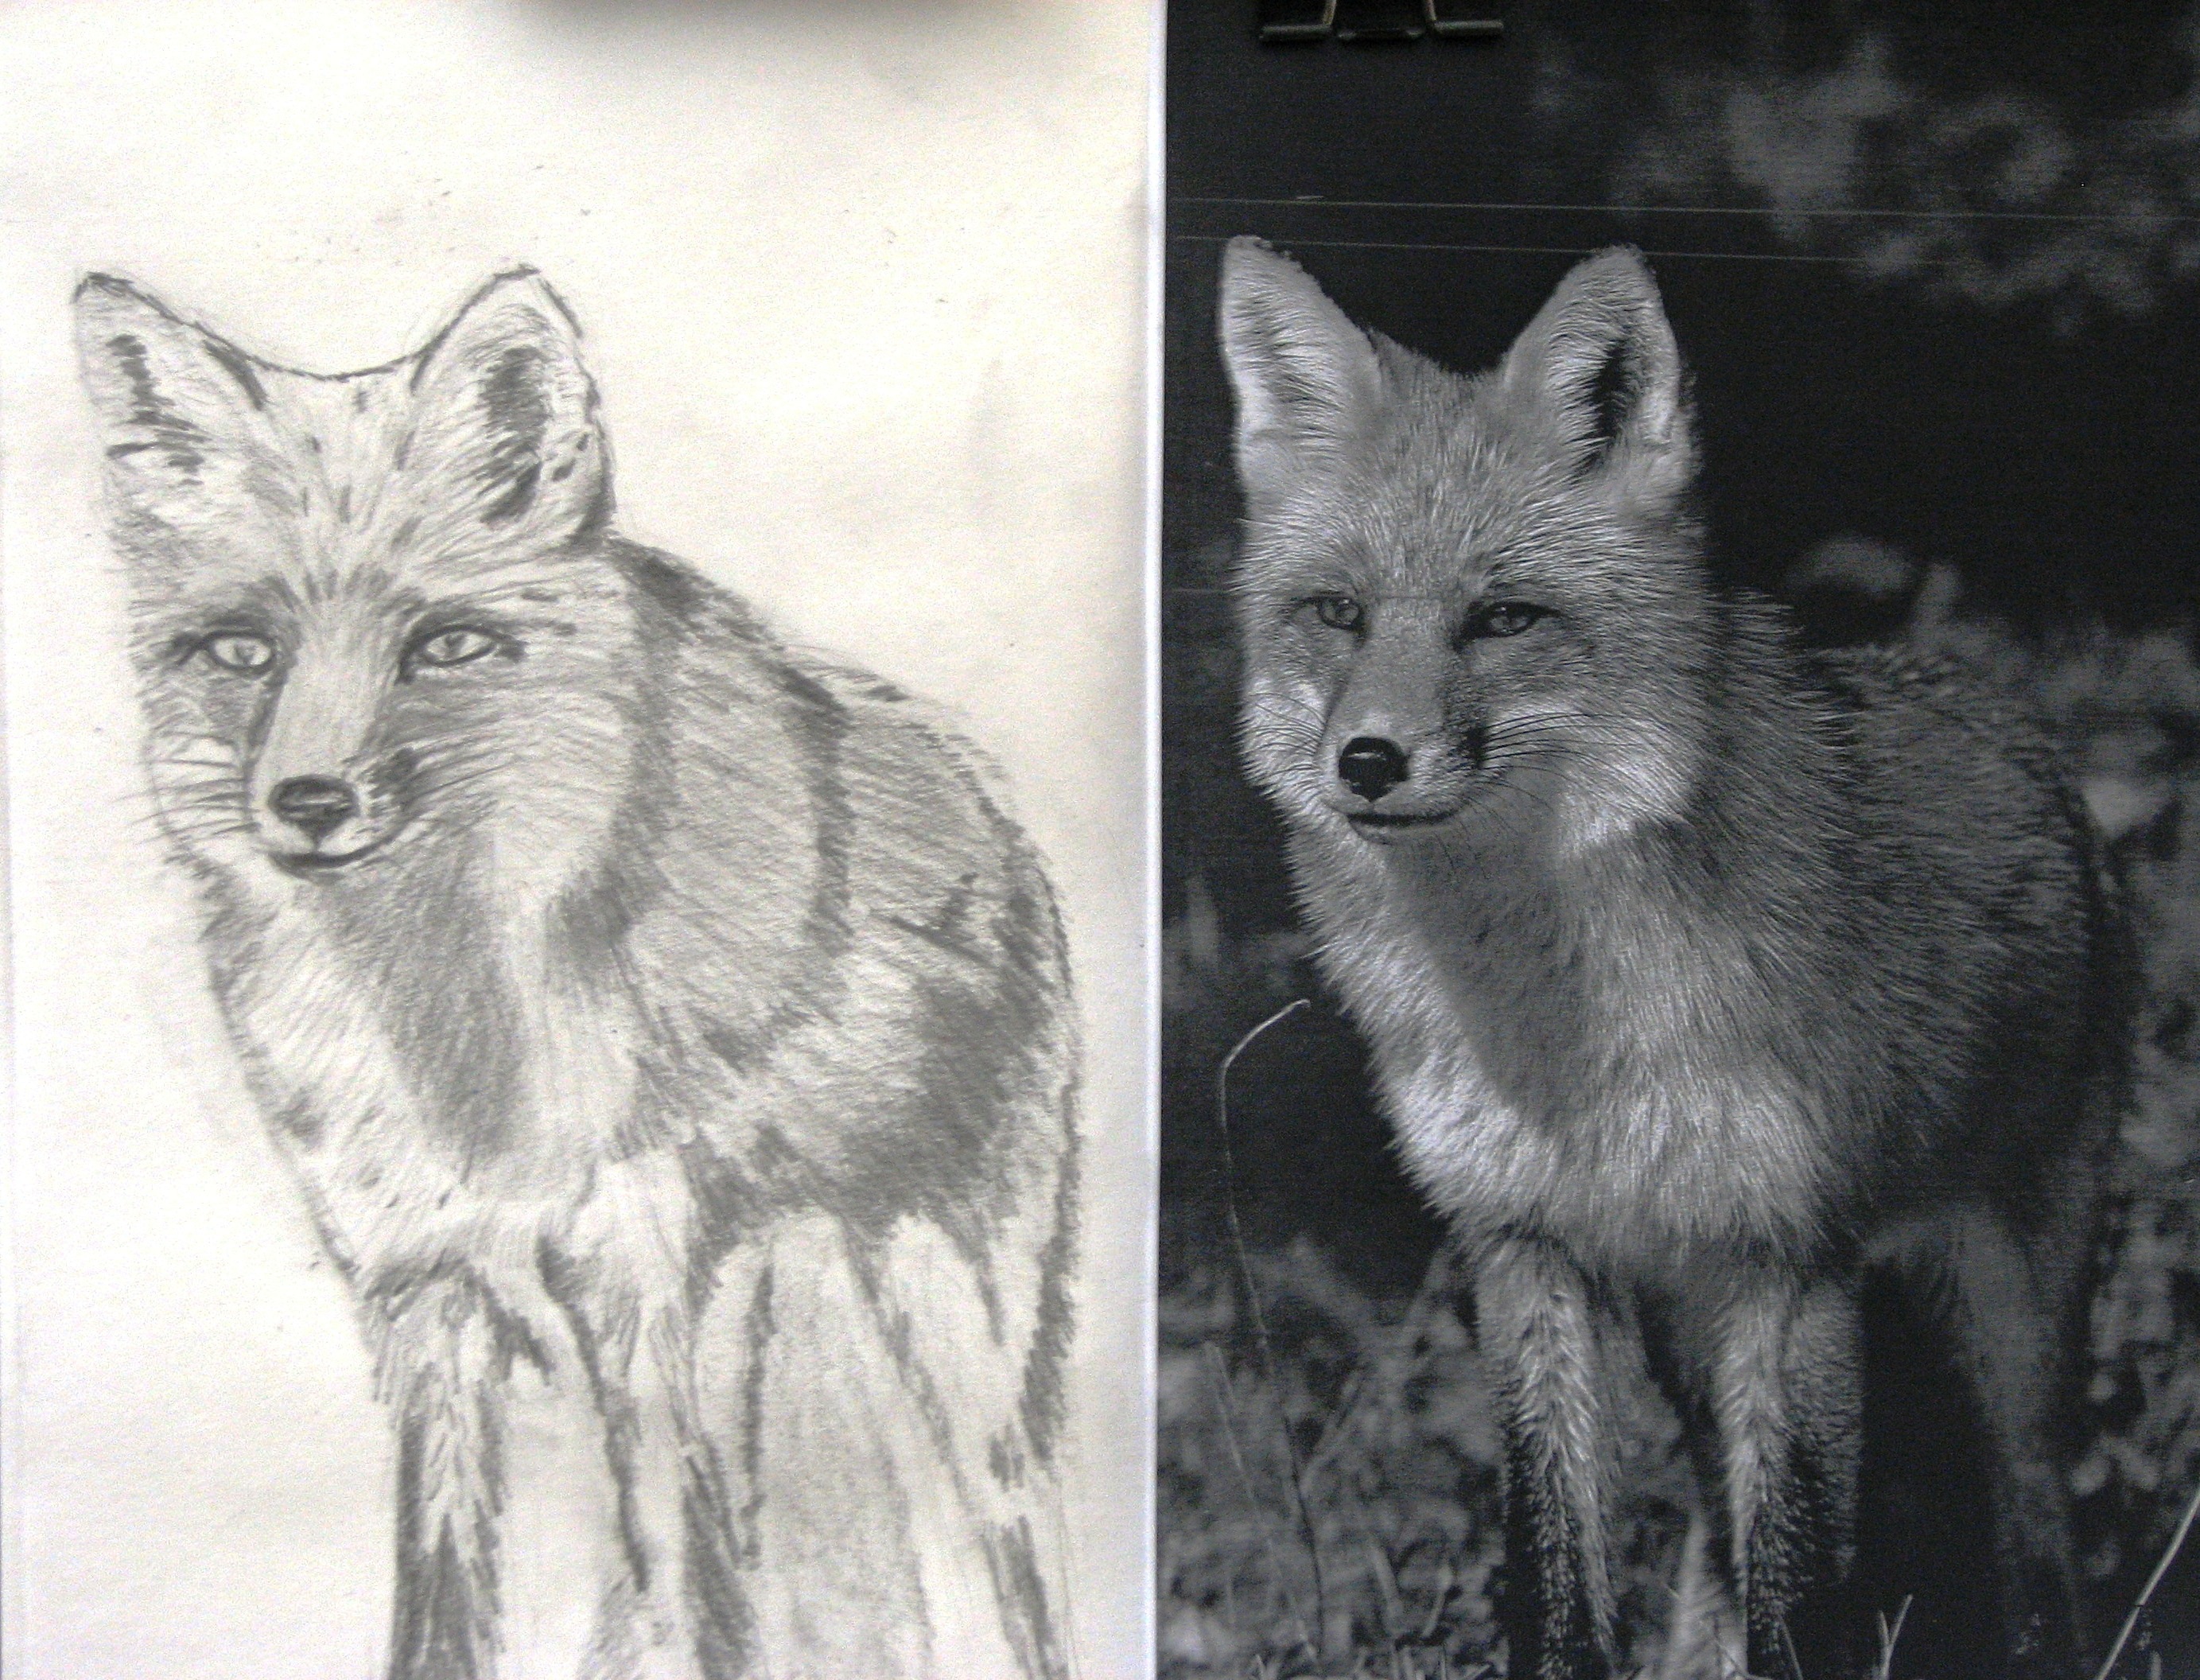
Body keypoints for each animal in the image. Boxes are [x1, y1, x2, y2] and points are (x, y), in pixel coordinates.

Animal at [75, 268, 1080, 1680]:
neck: (452, 1036)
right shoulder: (427, 1295)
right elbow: (446, 1598)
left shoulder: (638, 1288)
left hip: (957, 1338)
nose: (306, 803)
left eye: (443, 647)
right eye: (240, 654)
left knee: (1011, 1567)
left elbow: (682, 1590)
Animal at [1217, 238, 2126, 1680]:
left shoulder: (1786, 1261)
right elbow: (1555, 1570)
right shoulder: (1524, 1248)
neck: (1563, 1030)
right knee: (1709, 1520)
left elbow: (1795, 1589)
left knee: (2039, 1544)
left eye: (1503, 619)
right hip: (1681, 1320)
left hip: (2005, 1313)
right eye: (1337, 613)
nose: (1366, 759)